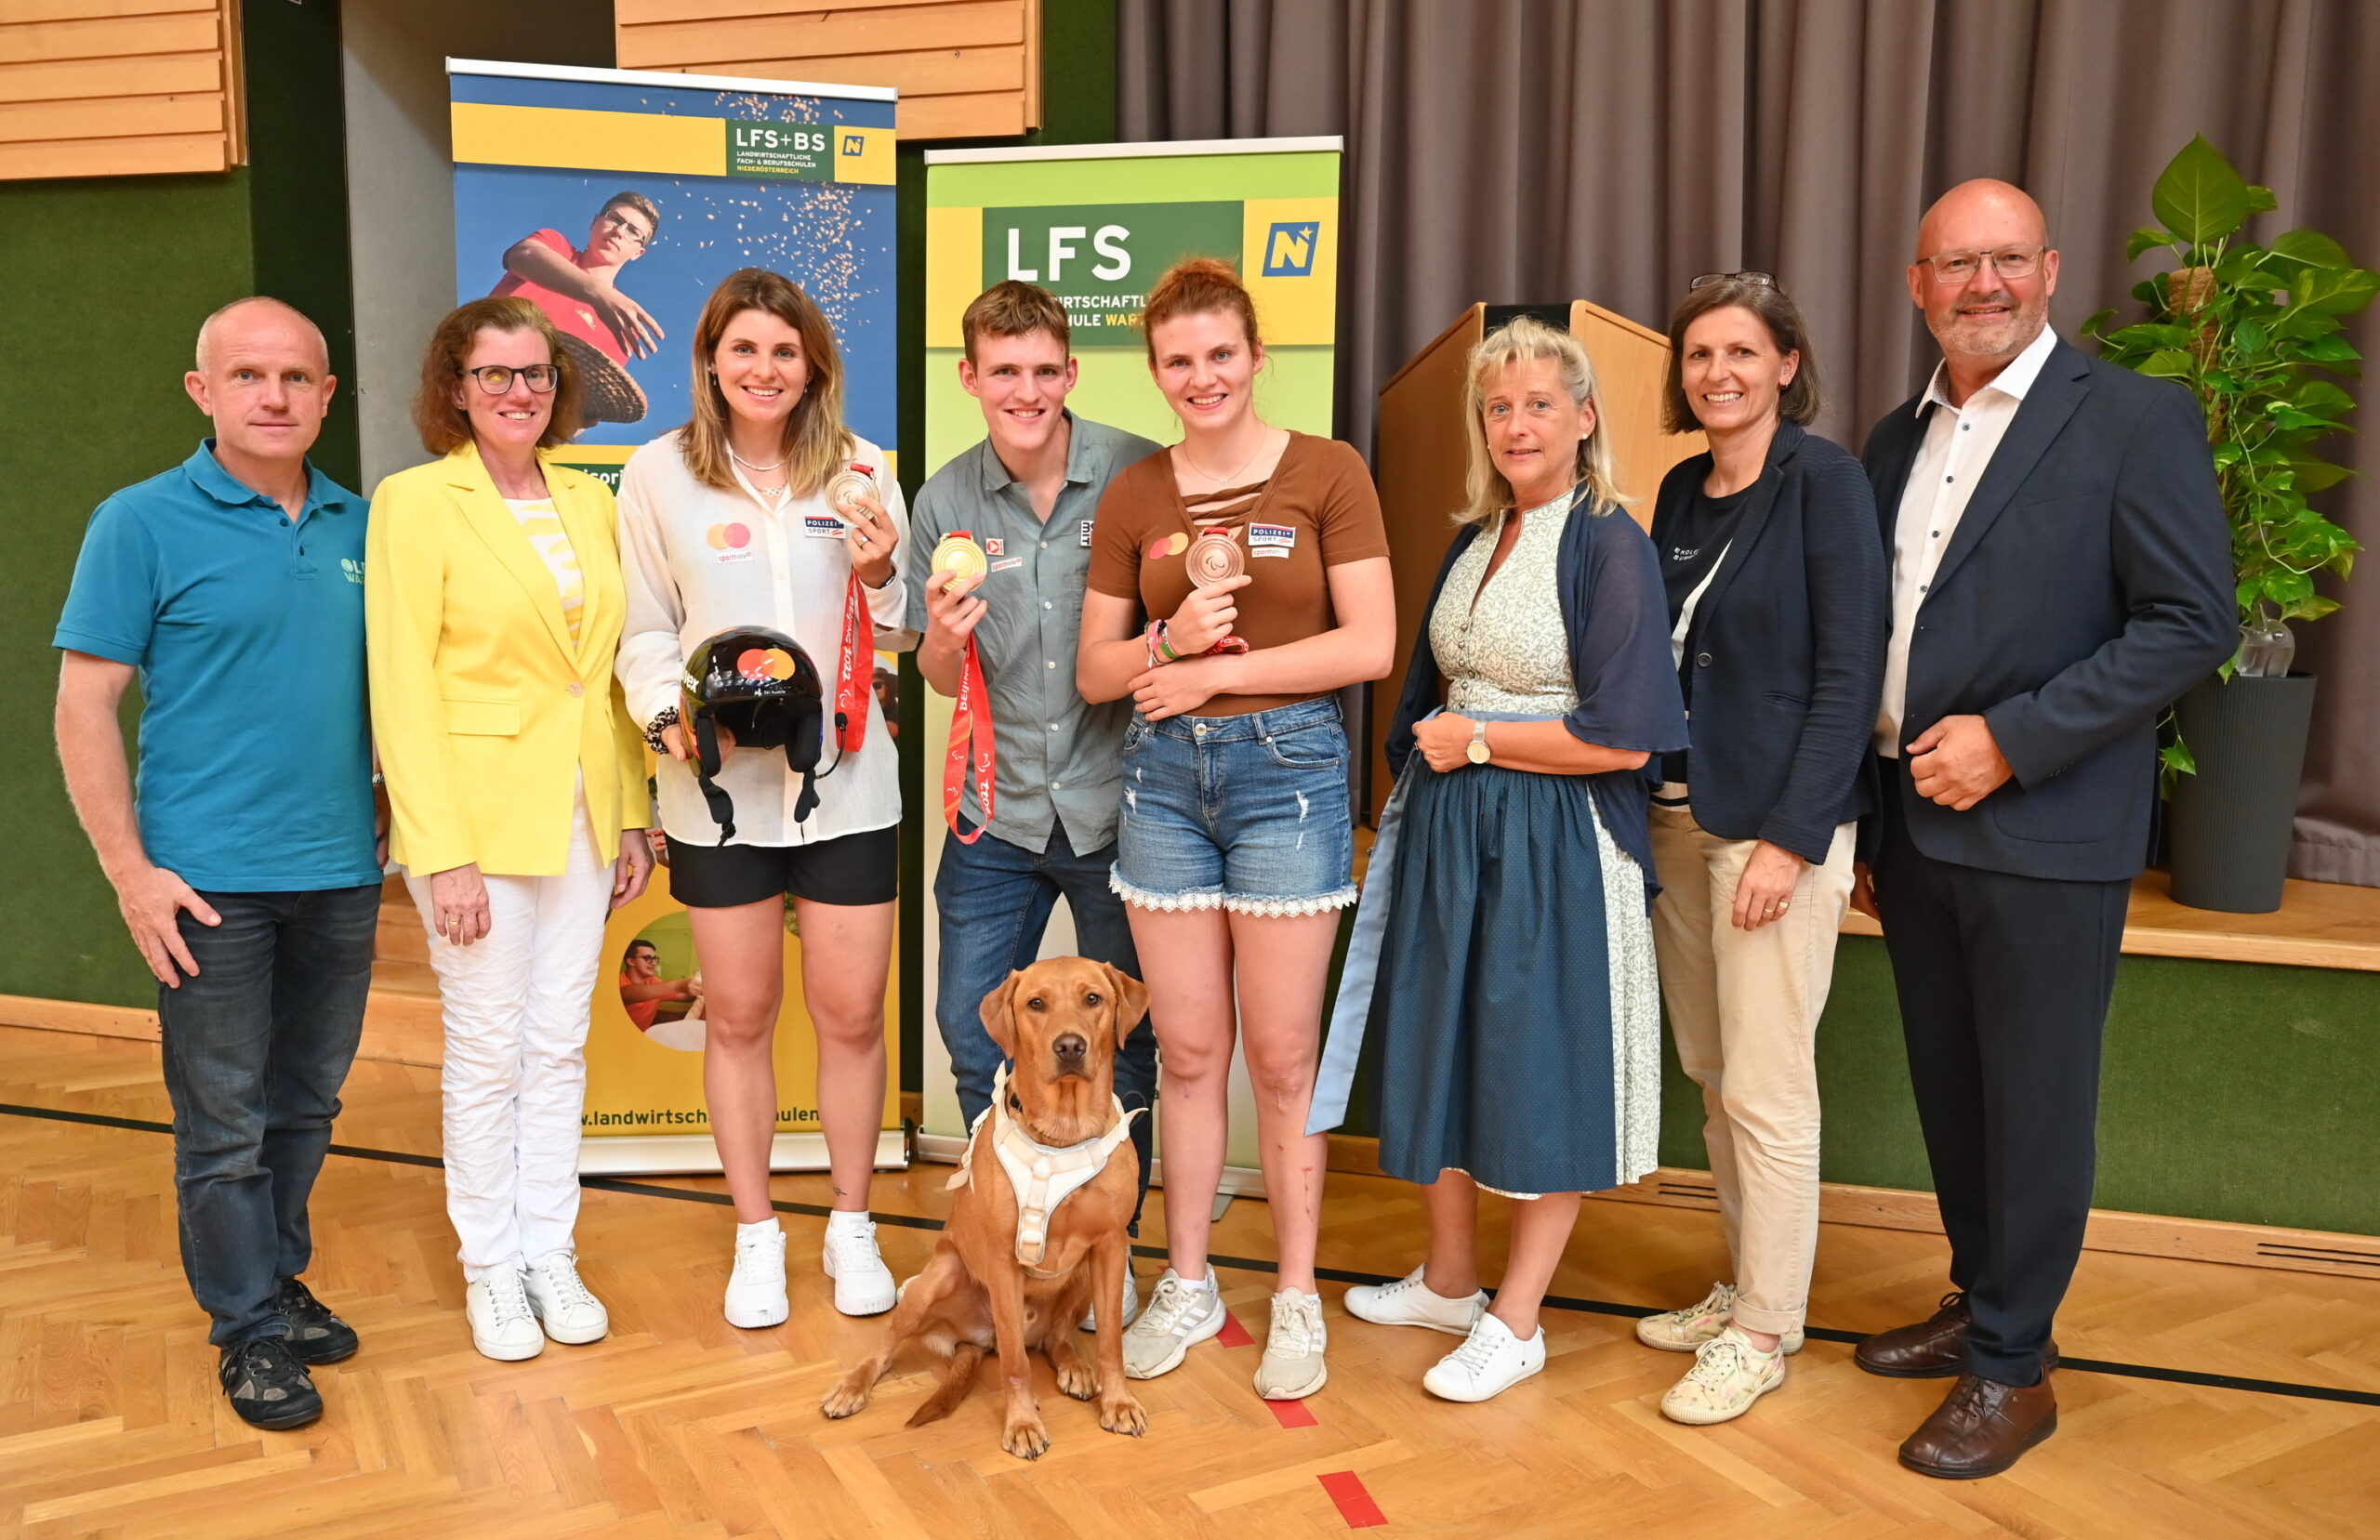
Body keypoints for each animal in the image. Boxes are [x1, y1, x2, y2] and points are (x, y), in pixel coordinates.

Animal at [823, 952, 1146, 1456]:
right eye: (1036, 1004)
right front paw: (1022, 1422)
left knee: (1055, 1338)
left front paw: (1118, 1402)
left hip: (1080, 1277)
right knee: (888, 1347)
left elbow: (1111, 1341)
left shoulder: (1110, 1247)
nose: (1070, 1047)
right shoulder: (1002, 1262)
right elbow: (1015, 1362)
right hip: (934, 1281)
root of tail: (974, 1341)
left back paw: (1074, 1365)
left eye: (1093, 999)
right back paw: (853, 1386)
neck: (1064, 1133)